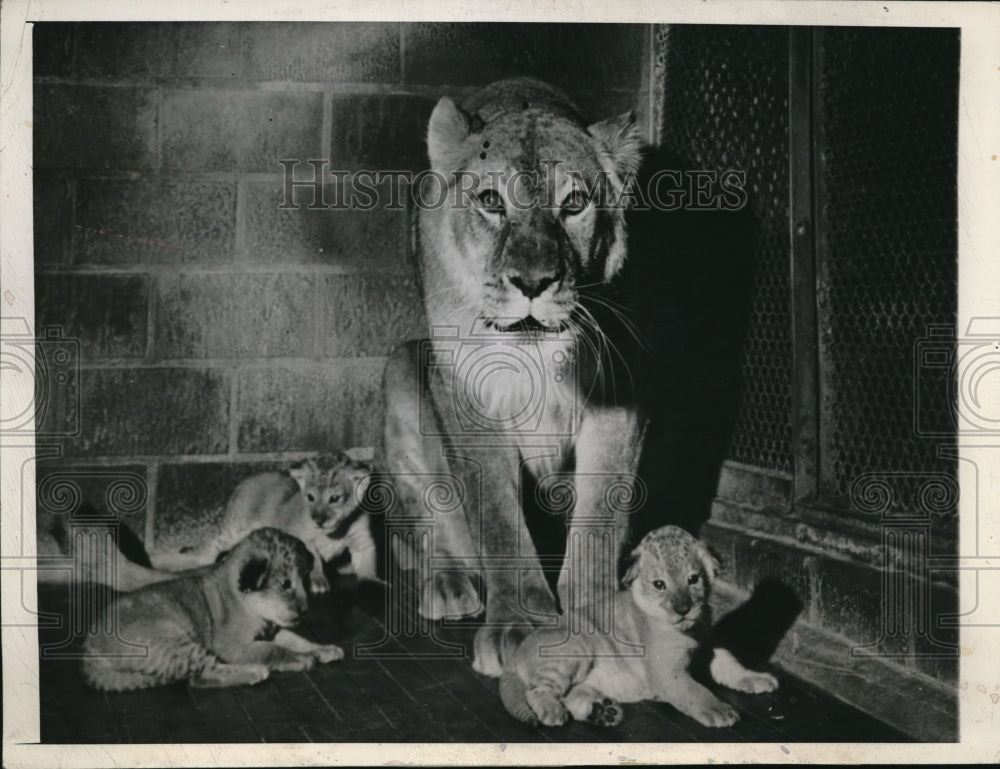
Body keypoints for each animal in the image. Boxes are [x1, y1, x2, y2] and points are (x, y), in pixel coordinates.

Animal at [83, 527, 344, 691]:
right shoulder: (230, 646)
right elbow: (272, 650)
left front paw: (324, 649)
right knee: (201, 675)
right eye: (285, 584)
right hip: (173, 643)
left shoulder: (274, 630)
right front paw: (302, 658)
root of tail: (89, 654)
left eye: (305, 580)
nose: (305, 610)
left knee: (197, 679)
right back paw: (254, 672)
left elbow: (297, 640)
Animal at [382, 77, 648, 677]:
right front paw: (518, 624)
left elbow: (599, 519)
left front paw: (592, 624)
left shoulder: (619, 399)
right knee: (427, 530)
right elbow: (499, 519)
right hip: (403, 371)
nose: (532, 283)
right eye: (490, 202)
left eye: (574, 204)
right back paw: (450, 582)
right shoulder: (469, 398)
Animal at [498, 525, 778, 728]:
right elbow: (694, 690)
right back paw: (554, 712)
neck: (690, 630)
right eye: (659, 584)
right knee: (537, 691)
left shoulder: (709, 647)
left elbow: (731, 664)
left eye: (693, 579)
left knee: (572, 693)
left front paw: (757, 678)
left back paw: (602, 712)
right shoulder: (667, 673)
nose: (683, 609)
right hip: (574, 649)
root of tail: (513, 657)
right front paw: (718, 710)